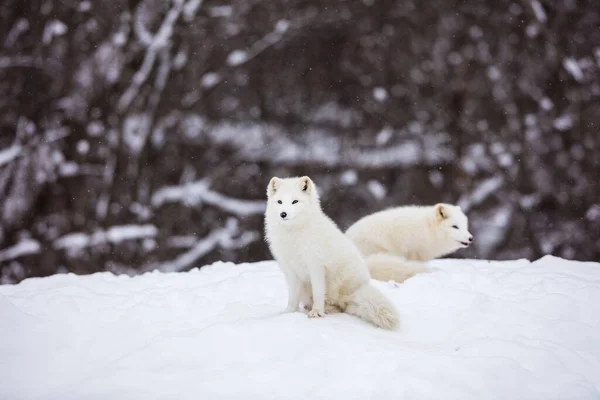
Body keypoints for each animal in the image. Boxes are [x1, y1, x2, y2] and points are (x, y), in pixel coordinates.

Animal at [264, 177, 398, 330]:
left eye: (295, 201)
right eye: (279, 202)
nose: (283, 214)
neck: (293, 234)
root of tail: (359, 288)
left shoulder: (316, 267)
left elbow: (318, 293)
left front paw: (317, 312)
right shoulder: (291, 271)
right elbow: (292, 297)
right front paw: (289, 313)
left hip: (338, 281)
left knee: (342, 306)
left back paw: (327, 309)